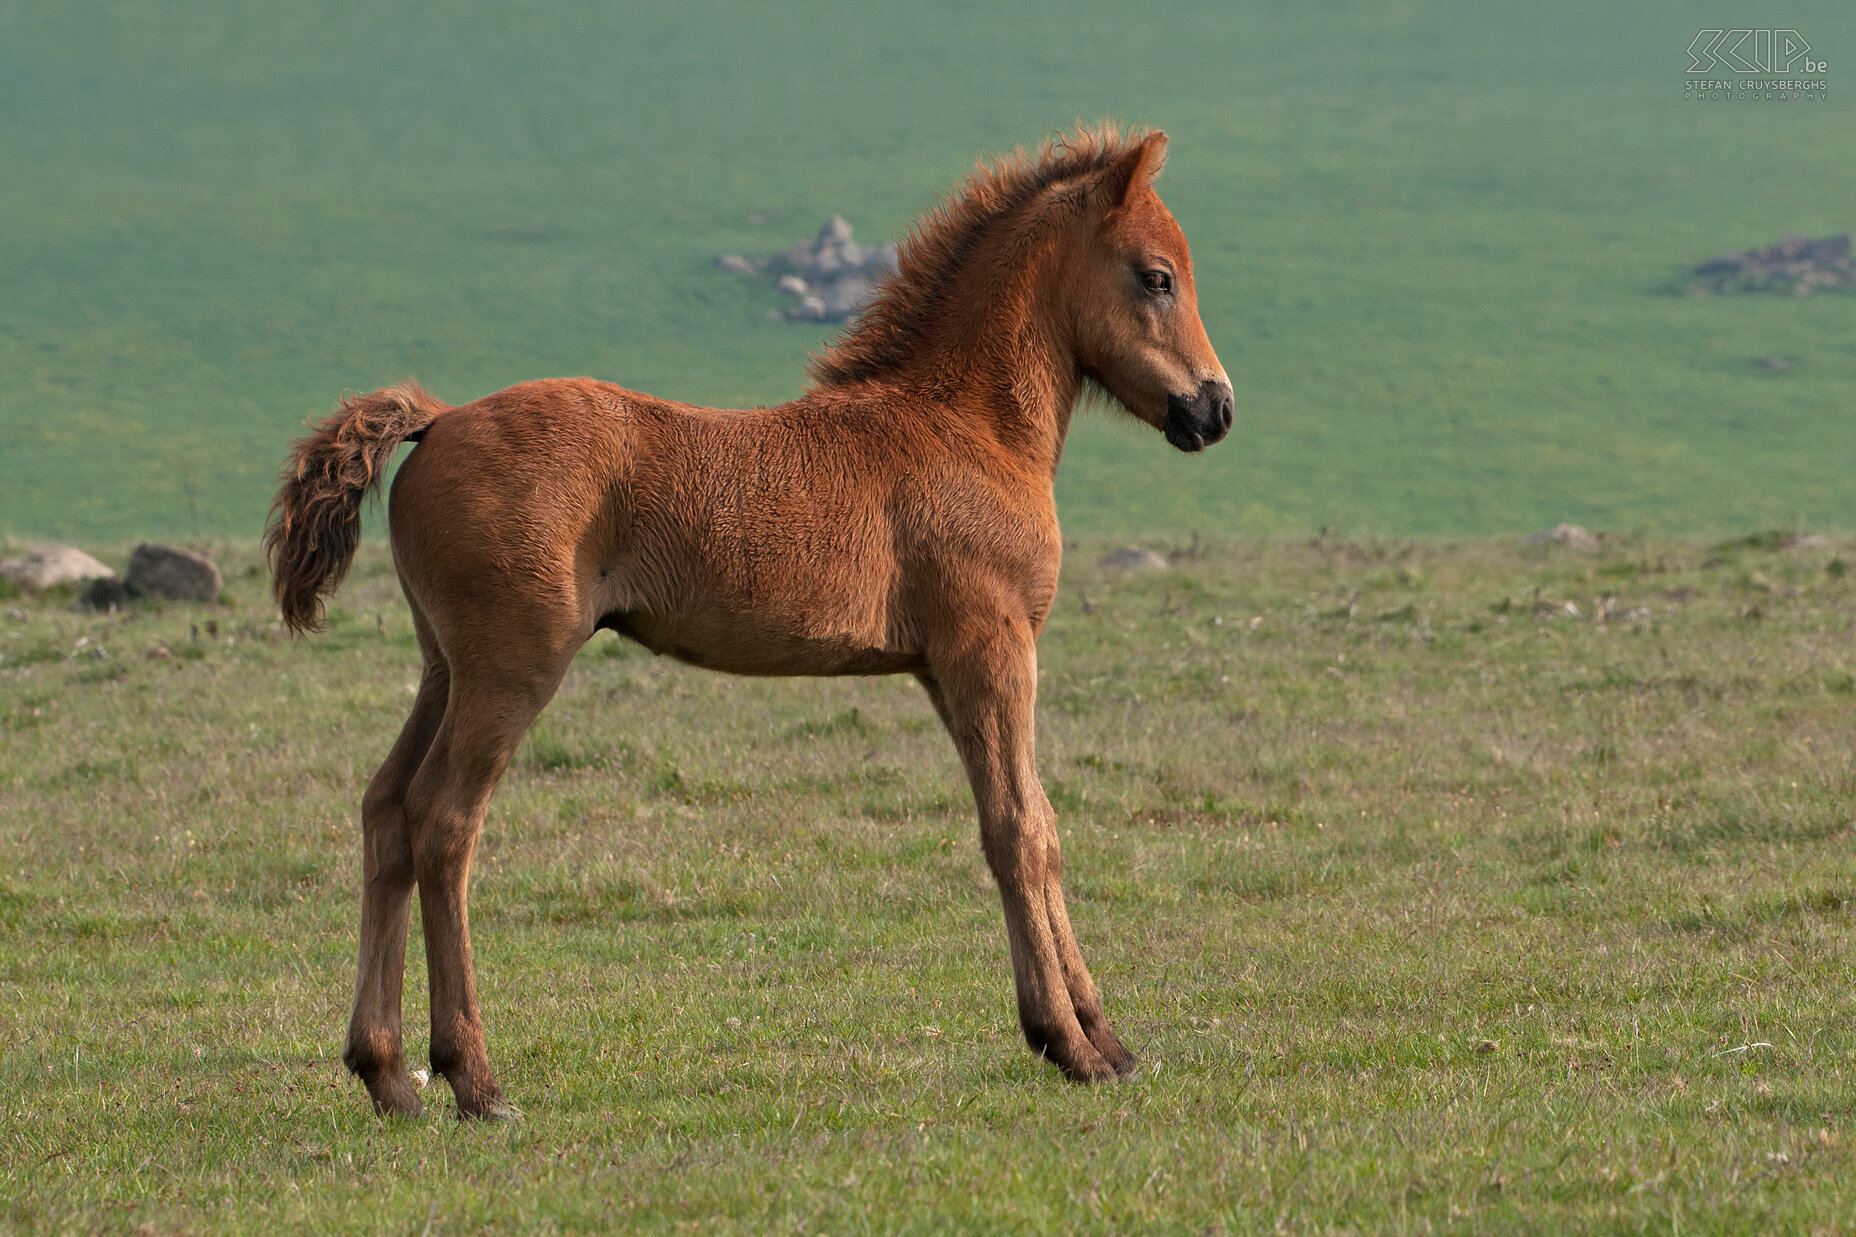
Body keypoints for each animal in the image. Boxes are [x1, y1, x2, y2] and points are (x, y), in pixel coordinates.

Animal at [269, 125, 1232, 1114]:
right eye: (1157, 276)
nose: (1214, 407)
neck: (964, 425)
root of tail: (439, 418)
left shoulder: (945, 667)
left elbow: (1031, 819)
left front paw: (1102, 1036)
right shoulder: (989, 649)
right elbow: (1021, 831)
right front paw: (1072, 1043)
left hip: (443, 666)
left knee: (385, 809)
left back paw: (388, 1072)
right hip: (511, 667)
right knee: (444, 820)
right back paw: (472, 1074)